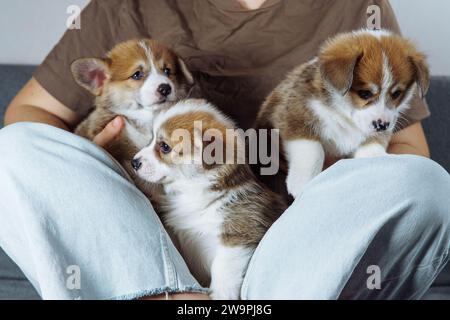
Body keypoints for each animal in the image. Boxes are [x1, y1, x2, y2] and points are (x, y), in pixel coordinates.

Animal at [132, 100, 286, 300]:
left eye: (164, 146)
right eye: (151, 140)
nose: (134, 162)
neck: (195, 192)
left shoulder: (240, 233)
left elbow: (222, 266)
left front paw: (222, 293)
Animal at [256, 30, 428, 199]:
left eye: (396, 93)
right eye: (364, 93)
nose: (382, 125)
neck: (345, 112)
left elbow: (372, 146)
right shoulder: (294, 116)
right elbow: (313, 149)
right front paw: (302, 182)